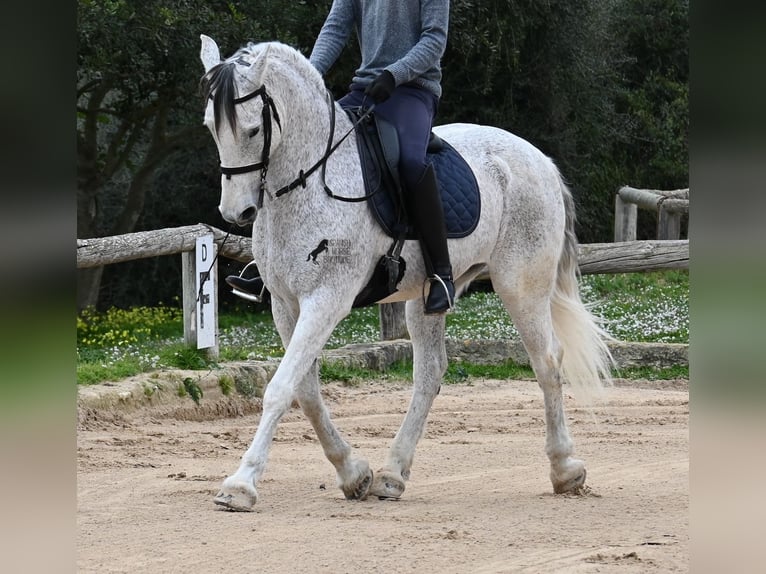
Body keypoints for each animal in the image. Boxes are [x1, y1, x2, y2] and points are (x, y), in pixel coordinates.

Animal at [201, 36, 616, 512]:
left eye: (253, 130)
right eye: (211, 127)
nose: (237, 213)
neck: (309, 180)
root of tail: (540, 159)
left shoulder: (326, 299)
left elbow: (280, 388)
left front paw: (241, 484)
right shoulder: (286, 306)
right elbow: (305, 390)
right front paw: (353, 473)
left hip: (521, 286)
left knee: (546, 361)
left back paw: (565, 469)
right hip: (428, 295)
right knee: (430, 373)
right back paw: (391, 475)